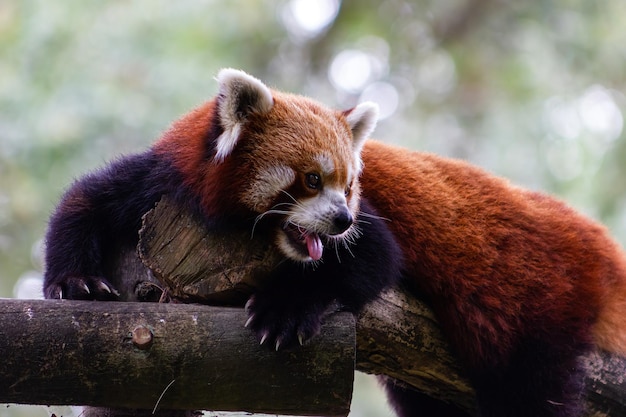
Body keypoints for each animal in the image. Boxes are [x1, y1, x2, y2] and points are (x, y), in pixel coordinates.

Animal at [44, 69, 624, 416]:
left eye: (348, 187)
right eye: (310, 180)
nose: (342, 220)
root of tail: (592, 238)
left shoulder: (373, 225)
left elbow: (373, 261)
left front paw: (286, 308)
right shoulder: (165, 180)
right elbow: (86, 199)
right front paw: (74, 280)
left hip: (538, 305)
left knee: (532, 390)